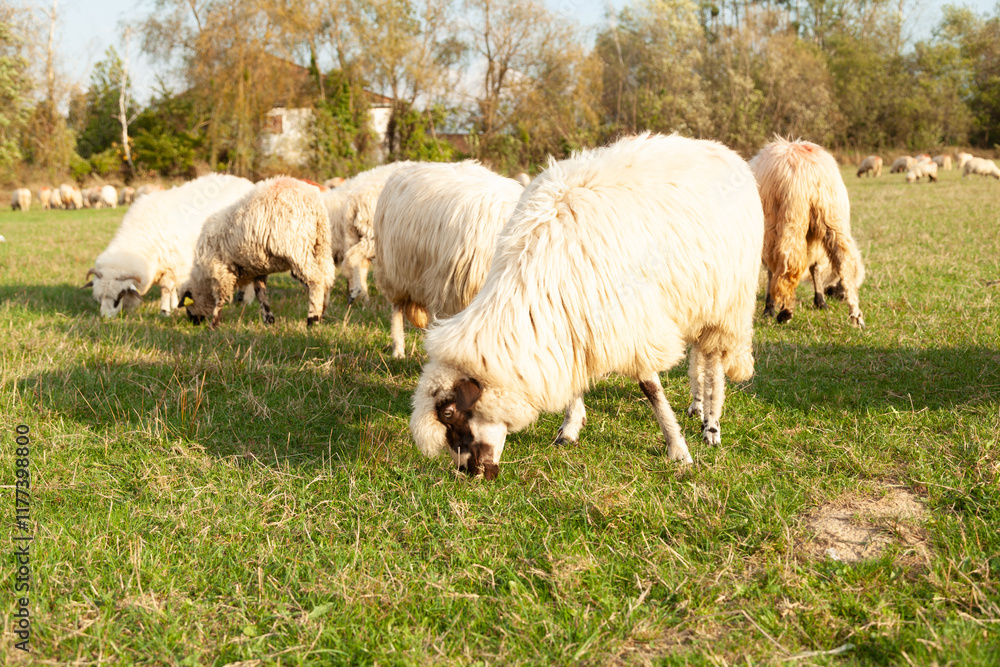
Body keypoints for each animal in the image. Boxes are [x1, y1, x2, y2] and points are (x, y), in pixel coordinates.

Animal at [85, 174, 254, 318]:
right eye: (99, 297)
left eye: (120, 294)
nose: (105, 318)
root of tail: (246, 181)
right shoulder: (168, 264)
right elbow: (172, 288)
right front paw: (173, 304)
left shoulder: (173, 263)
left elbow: (166, 289)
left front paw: (165, 311)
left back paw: (246, 300)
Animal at [180, 177, 336, 328]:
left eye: (188, 306)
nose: (193, 323)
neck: (203, 278)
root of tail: (313, 202)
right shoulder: (258, 267)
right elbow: (260, 292)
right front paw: (269, 319)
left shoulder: (221, 272)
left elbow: (220, 299)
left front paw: (213, 325)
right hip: (321, 244)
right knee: (326, 278)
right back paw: (322, 314)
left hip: (297, 250)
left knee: (316, 280)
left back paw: (312, 319)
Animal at [409, 133, 764, 479]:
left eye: (449, 411)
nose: (469, 473)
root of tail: (721, 149)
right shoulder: (574, 319)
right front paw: (568, 429)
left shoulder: (631, 319)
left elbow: (650, 388)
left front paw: (678, 449)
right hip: (697, 299)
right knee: (699, 354)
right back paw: (696, 405)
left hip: (728, 301)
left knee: (714, 362)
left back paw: (711, 425)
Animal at [750, 137, 865, 327]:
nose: (840, 297)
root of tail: (807, 171)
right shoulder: (815, 242)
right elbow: (815, 267)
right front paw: (821, 301)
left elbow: (773, 271)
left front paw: (770, 307)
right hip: (833, 216)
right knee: (844, 260)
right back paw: (856, 315)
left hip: (785, 219)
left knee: (787, 261)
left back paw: (785, 312)